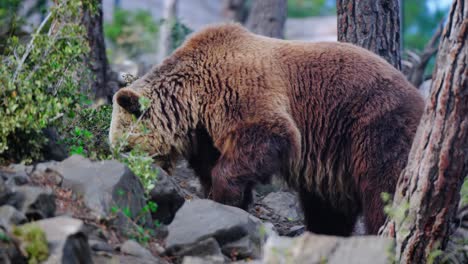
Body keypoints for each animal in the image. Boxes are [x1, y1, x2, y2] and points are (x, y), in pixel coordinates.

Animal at [109, 23, 424, 236]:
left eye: (125, 146)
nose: (131, 170)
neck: (192, 99)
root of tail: (419, 95)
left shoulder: (240, 90)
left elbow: (270, 133)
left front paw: (224, 197)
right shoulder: (205, 132)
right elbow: (213, 163)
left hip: (374, 125)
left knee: (384, 186)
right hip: (334, 162)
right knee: (327, 207)